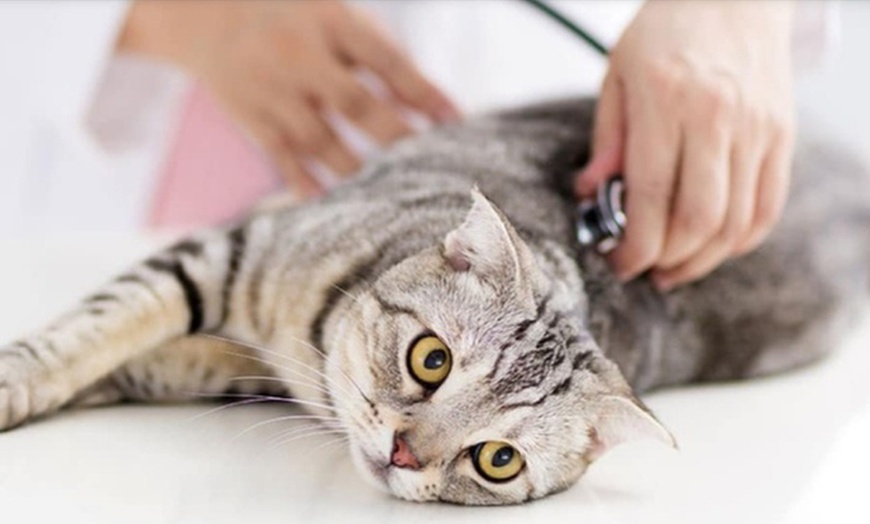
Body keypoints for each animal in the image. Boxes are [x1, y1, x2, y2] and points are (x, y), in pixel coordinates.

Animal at [1, 97, 870, 504]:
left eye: (497, 459)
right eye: (431, 360)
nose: (403, 454)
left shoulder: (222, 364)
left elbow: (130, 364)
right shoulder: (227, 252)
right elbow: (95, 330)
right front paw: (18, 382)